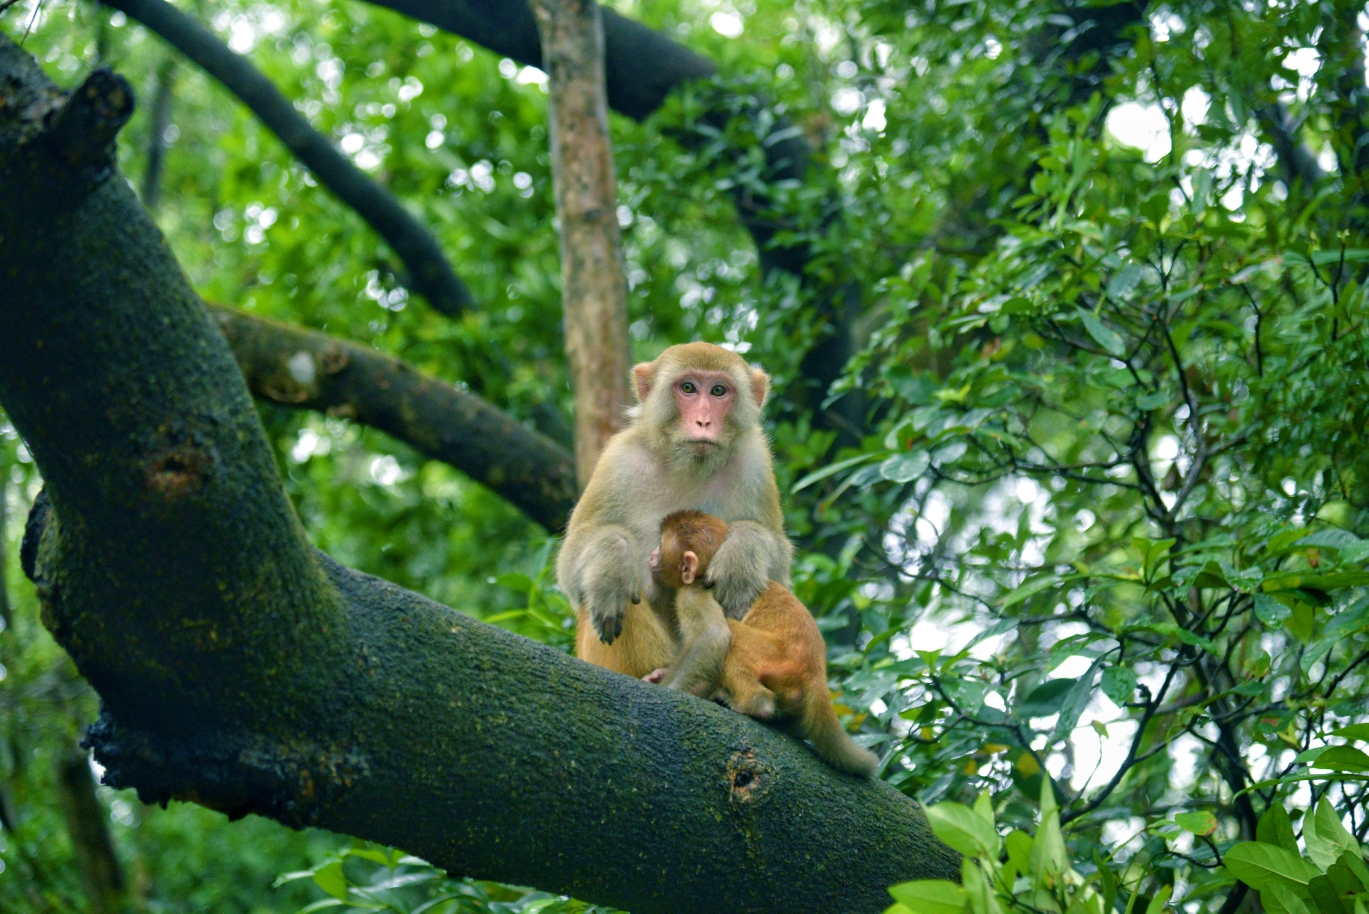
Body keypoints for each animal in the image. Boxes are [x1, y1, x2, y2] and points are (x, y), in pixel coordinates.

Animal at [555, 342, 794, 678]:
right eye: (688, 388)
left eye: (718, 390)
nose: (703, 422)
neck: (688, 465)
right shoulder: (618, 460)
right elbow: (572, 559)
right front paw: (611, 561)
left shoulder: (755, 463)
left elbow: (779, 572)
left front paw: (743, 552)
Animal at [648, 511, 881, 777]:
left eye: (661, 545)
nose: (652, 555)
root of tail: (817, 673)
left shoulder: (694, 592)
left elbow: (712, 636)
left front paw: (667, 689)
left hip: (777, 660)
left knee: (734, 635)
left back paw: (755, 704)